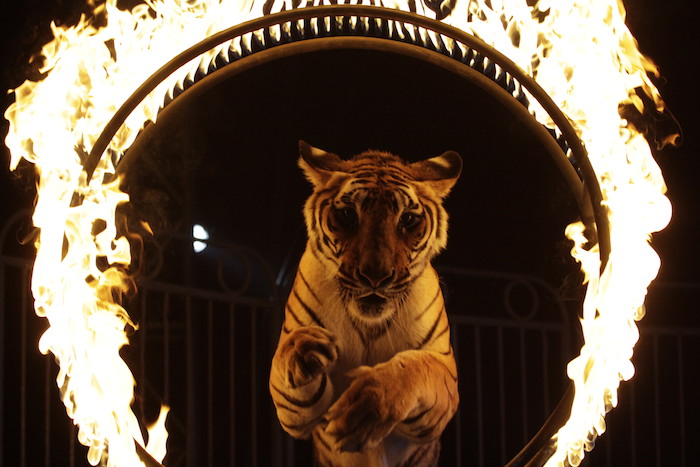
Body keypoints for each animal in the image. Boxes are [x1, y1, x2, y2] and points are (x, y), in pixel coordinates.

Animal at [270, 142, 462, 467]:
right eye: (348, 214)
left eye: (407, 219)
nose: (375, 276)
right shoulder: (298, 416)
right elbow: (283, 367)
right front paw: (304, 349)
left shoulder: (444, 369)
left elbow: (415, 368)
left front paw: (369, 405)